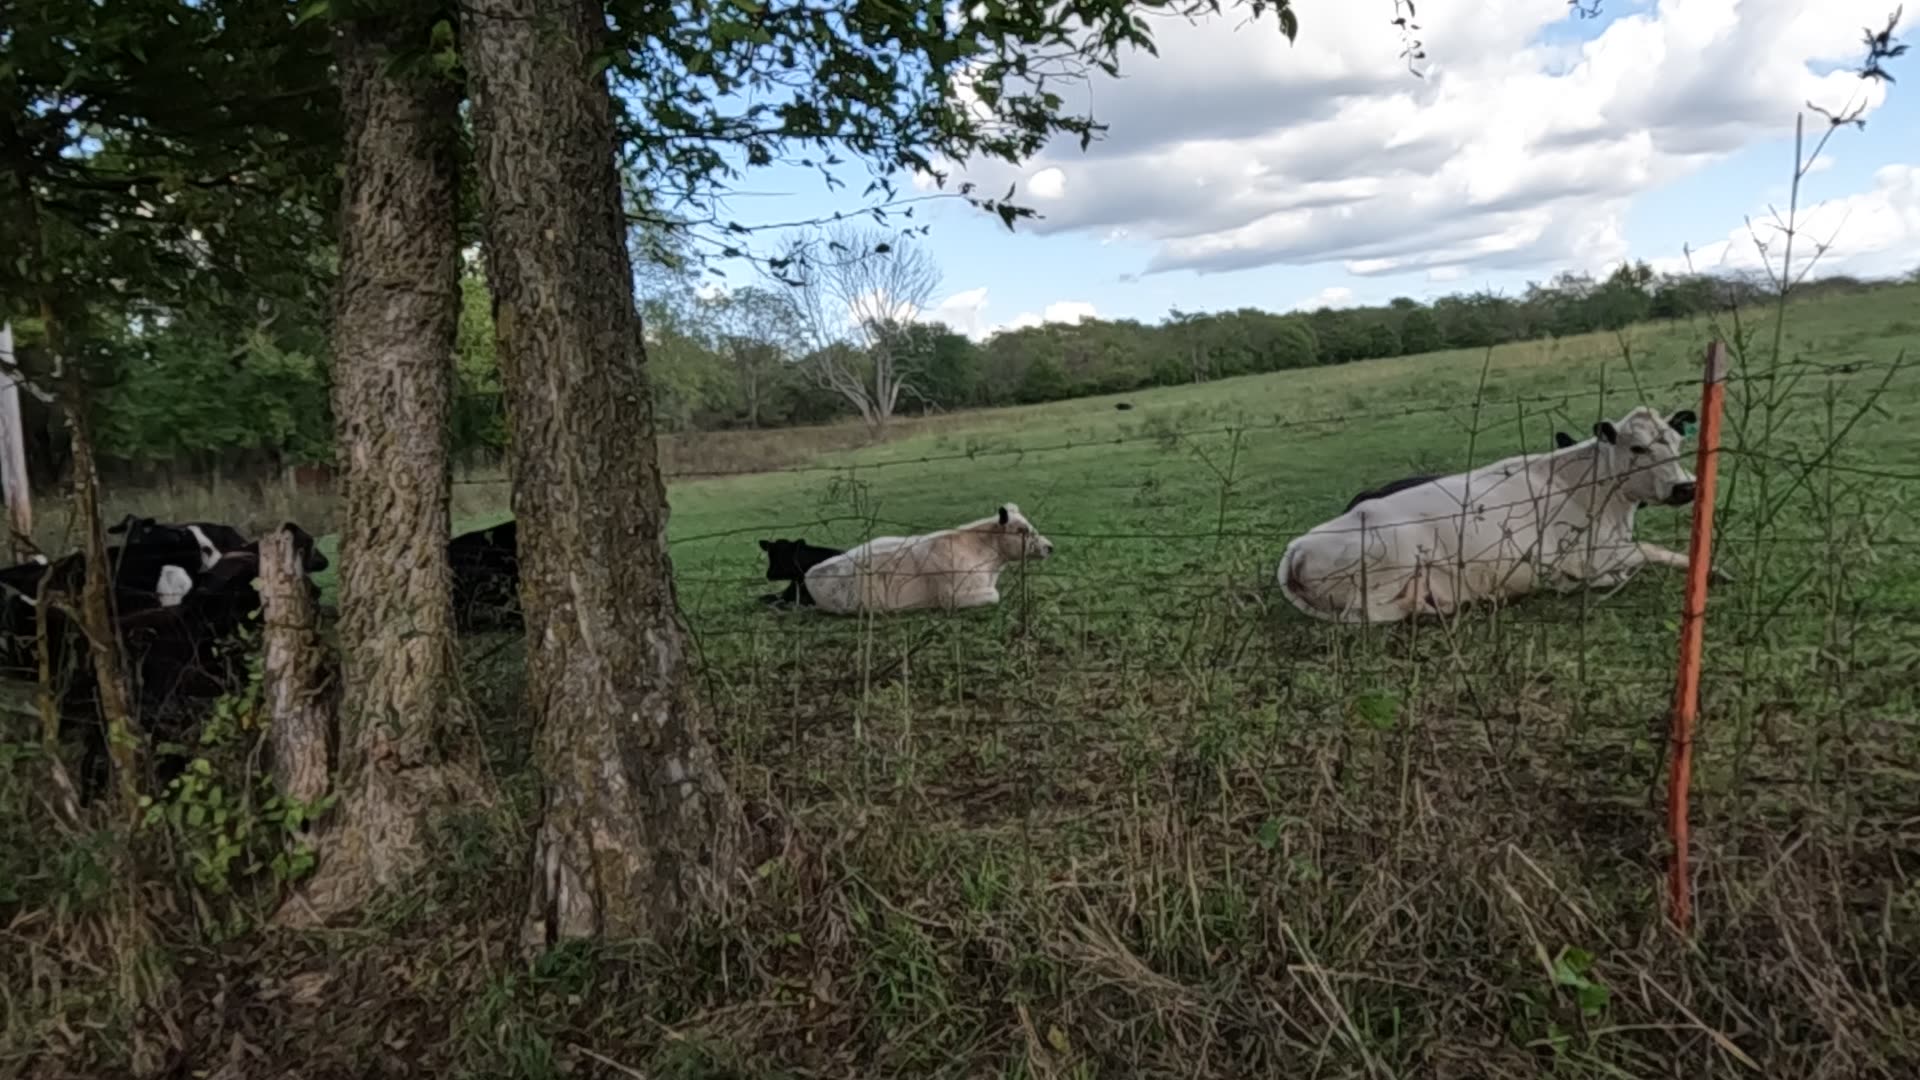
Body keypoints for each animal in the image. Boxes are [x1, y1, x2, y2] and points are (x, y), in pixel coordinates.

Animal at [1279, 406, 1704, 625]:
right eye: (1637, 448)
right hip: (1392, 563)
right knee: (1364, 612)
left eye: (1677, 440)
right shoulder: (1584, 555)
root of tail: (1298, 545)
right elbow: (1650, 552)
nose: (1685, 487)